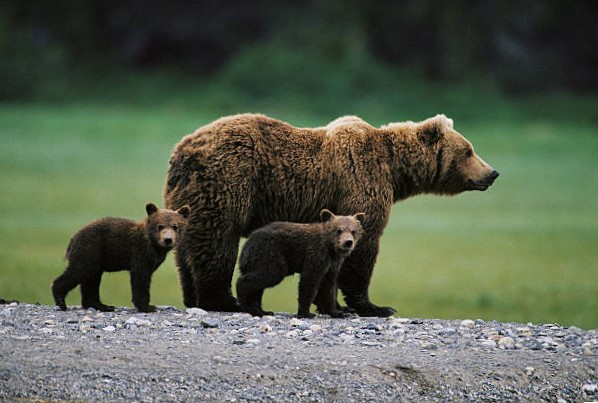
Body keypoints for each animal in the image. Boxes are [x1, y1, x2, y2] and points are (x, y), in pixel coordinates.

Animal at [54, 204, 191, 314]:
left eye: (175, 226)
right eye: (160, 226)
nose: (168, 239)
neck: (154, 246)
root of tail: (73, 238)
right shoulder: (139, 254)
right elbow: (140, 279)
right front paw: (148, 307)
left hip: (96, 258)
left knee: (91, 279)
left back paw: (103, 306)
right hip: (90, 250)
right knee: (80, 271)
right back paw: (60, 300)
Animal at [164, 113, 502, 316]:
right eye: (469, 151)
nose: (492, 173)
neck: (394, 170)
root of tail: (183, 149)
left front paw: (334, 304)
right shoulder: (359, 180)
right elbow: (362, 249)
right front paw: (374, 306)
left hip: (187, 198)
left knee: (187, 247)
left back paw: (193, 298)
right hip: (228, 180)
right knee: (217, 240)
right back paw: (223, 300)